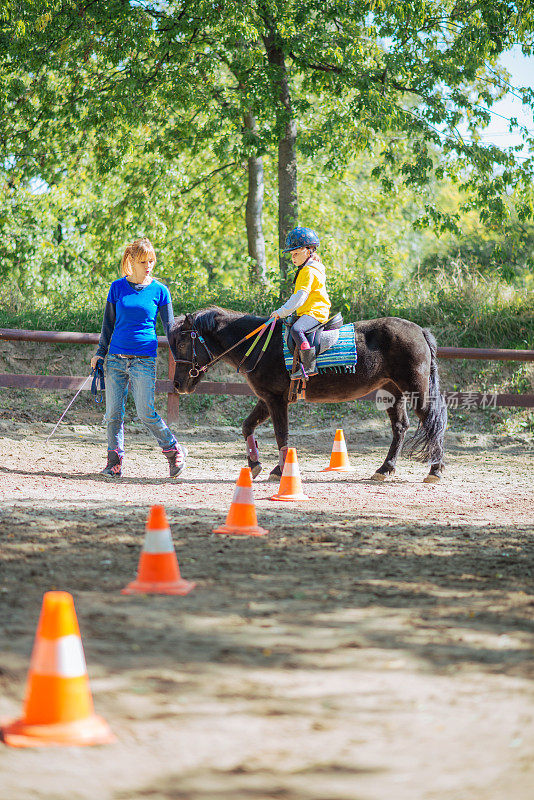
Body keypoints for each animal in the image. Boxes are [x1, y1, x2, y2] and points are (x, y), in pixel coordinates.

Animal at [171, 306, 448, 482]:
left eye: (183, 343)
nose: (178, 385)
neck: (259, 346)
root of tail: (419, 331)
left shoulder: (276, 399)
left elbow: (281, 435)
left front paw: (281, 470)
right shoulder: (266, 399)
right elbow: (247, 426)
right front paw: (255, 464)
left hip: (416, 389)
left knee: (432, 421)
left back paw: (435, 470)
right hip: (392, 392)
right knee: (400, 427)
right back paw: (385, 468)